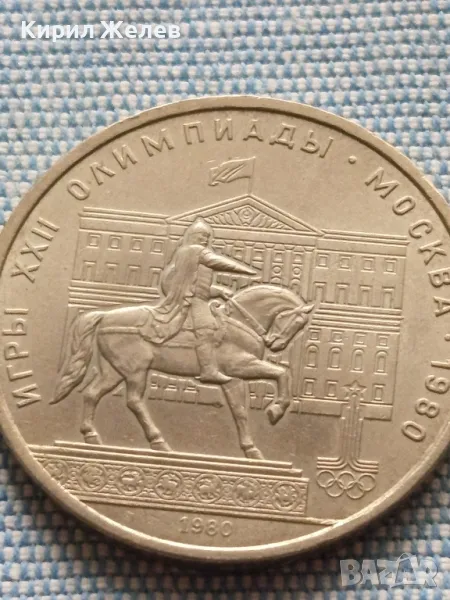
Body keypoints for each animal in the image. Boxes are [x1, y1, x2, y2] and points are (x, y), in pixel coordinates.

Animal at [51, 284, 313, 460]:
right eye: (298, 322)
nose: (277, 344)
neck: (239, 323)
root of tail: (105, 315)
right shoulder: (242, 365)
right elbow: (282, 373)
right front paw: (276, 410)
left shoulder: (233, 379)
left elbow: (240, 412)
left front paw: (251, 450)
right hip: (136, 370)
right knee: (134, 400)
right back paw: (158, 442)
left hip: (113, 371)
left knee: (91, 393)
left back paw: (91, 436)